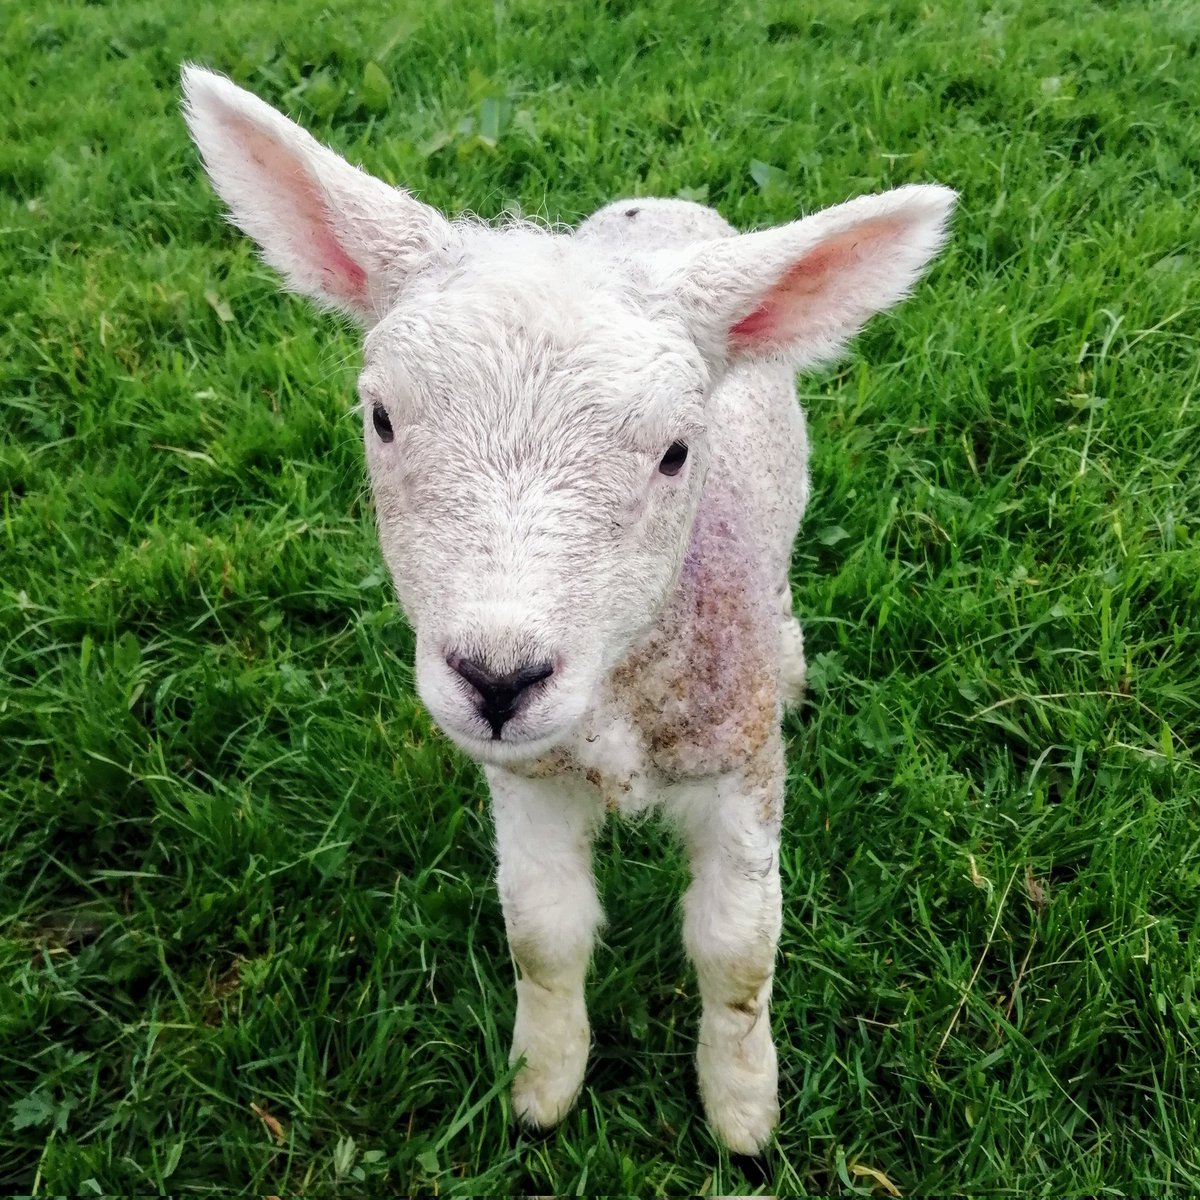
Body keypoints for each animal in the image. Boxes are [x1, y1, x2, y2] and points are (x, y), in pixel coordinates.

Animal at [180, 65, 955, 1152]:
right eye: (380, 418)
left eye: (677, 451)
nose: (497, 679)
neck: (619, 706)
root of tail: (659, 205)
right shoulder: (528, 780)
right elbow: (542, 936)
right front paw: (543, 1086)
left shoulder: (741, 769)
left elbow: (738, 950)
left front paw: (742, 1106)